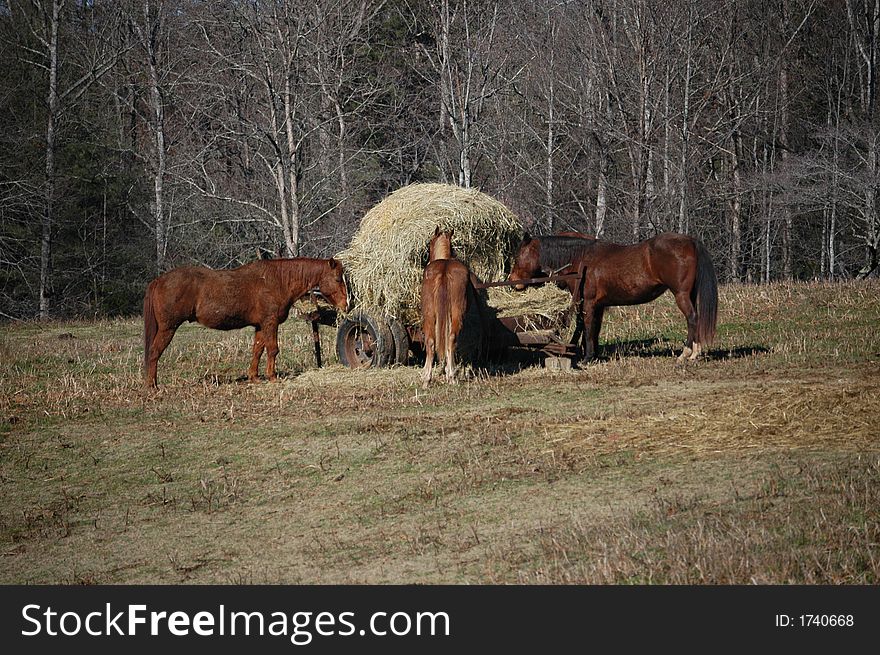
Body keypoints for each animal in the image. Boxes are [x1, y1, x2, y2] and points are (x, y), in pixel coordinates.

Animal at [144, 258, 348, 390]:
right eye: (338, 278)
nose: (346, 304)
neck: (277, 280)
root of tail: (158, 280)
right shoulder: (270, 323)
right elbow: (272, 349)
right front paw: (272, 377)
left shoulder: (260, 326)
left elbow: (257, 350)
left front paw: (254, 377)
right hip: (168, 329)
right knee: (154, 353)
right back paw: (153, 386)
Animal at [422, 228, 474, 386]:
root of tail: (444, 271)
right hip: (453, 313)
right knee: (448, 338)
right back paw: (449, 375)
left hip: (431, 315)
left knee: (432, 341)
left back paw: (430, 378)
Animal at [506, 232, 720, 366]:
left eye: (518, 255)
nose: (512, 282)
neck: (581, 260)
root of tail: (690, 241)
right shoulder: (598, 306)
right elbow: (594, 330)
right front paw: (594, 354)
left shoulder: (589, 304)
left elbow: (587, 328)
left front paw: (587, 357)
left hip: (681, 295)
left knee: (692, 318)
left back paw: (687, 354)